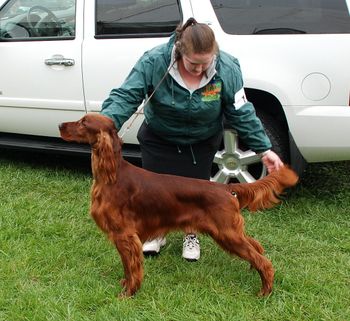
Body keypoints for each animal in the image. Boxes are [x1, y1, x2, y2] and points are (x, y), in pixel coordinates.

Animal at [58, 113, 296, 298]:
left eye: (83, 122)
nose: (60, 125)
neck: (112, 176)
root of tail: (225, 188)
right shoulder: (124, 237)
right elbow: (127, 267)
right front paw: (126, 286)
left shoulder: (124, 235)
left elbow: (132, 267)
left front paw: (128, 293)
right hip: (231, 231)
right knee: (257, 246)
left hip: (227, 233)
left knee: (264, 260)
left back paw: (265, 291)